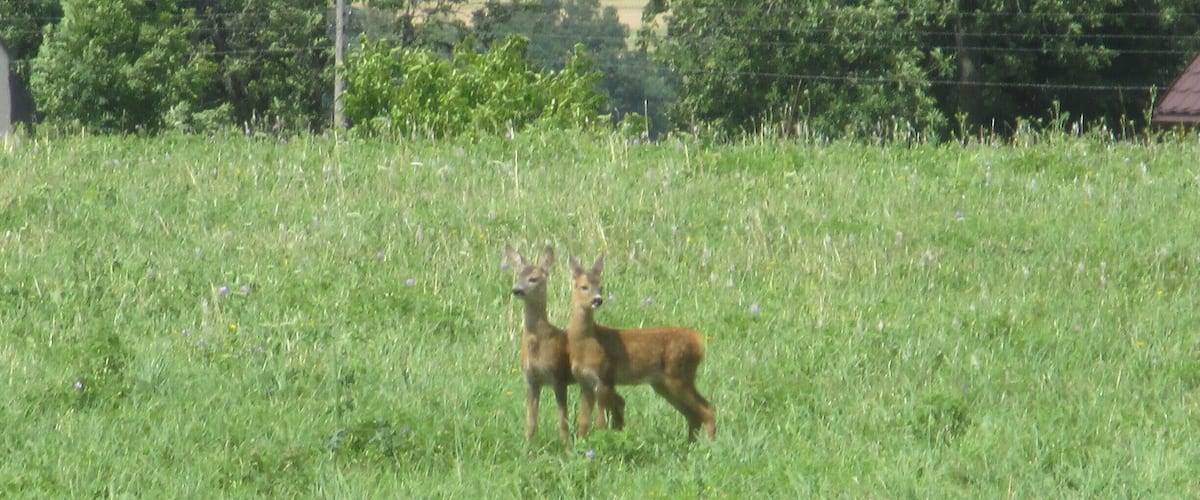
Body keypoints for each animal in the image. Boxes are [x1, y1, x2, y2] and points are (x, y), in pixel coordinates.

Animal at [504, 244, 625, 451]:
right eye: (518, 276)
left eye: (534, 278)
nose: (517, 290)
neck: (540, 343)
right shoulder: (531, 380)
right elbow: (531, 421)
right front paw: (527, 448)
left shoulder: (557, 376)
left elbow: (563, 420)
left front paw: (567, 449)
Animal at [566, 253, 716, 442]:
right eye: (583, 286)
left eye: (601, 286)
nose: (597, 300)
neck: (587, 343)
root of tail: (698, 341)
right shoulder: (585, 382)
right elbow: (583, 421)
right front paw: (580, 444)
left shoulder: (606, 377)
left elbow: (601, 423)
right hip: (663, 383)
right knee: (693, 414)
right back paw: (690, 445)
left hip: (679, 375)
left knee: (707, 409)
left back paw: (709, 445)